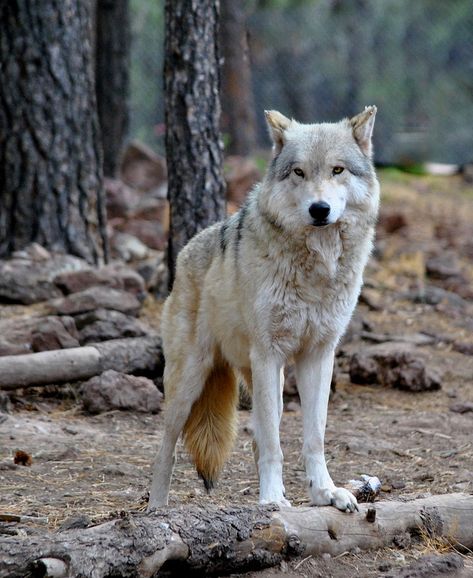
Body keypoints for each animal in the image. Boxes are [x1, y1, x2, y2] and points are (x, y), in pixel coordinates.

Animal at [149, 106, 378, 510]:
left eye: (337, 170)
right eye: (298, 172)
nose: (319, 209)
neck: (316, 267)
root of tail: (187, 249)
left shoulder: (319, 356)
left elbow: (314, 437)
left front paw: (325, 493)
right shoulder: (269, 354)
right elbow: (274, 443)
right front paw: (271, 500)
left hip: (269, 379)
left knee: (256, 436)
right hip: (189, 382)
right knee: (167, 450)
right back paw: (155, 509)